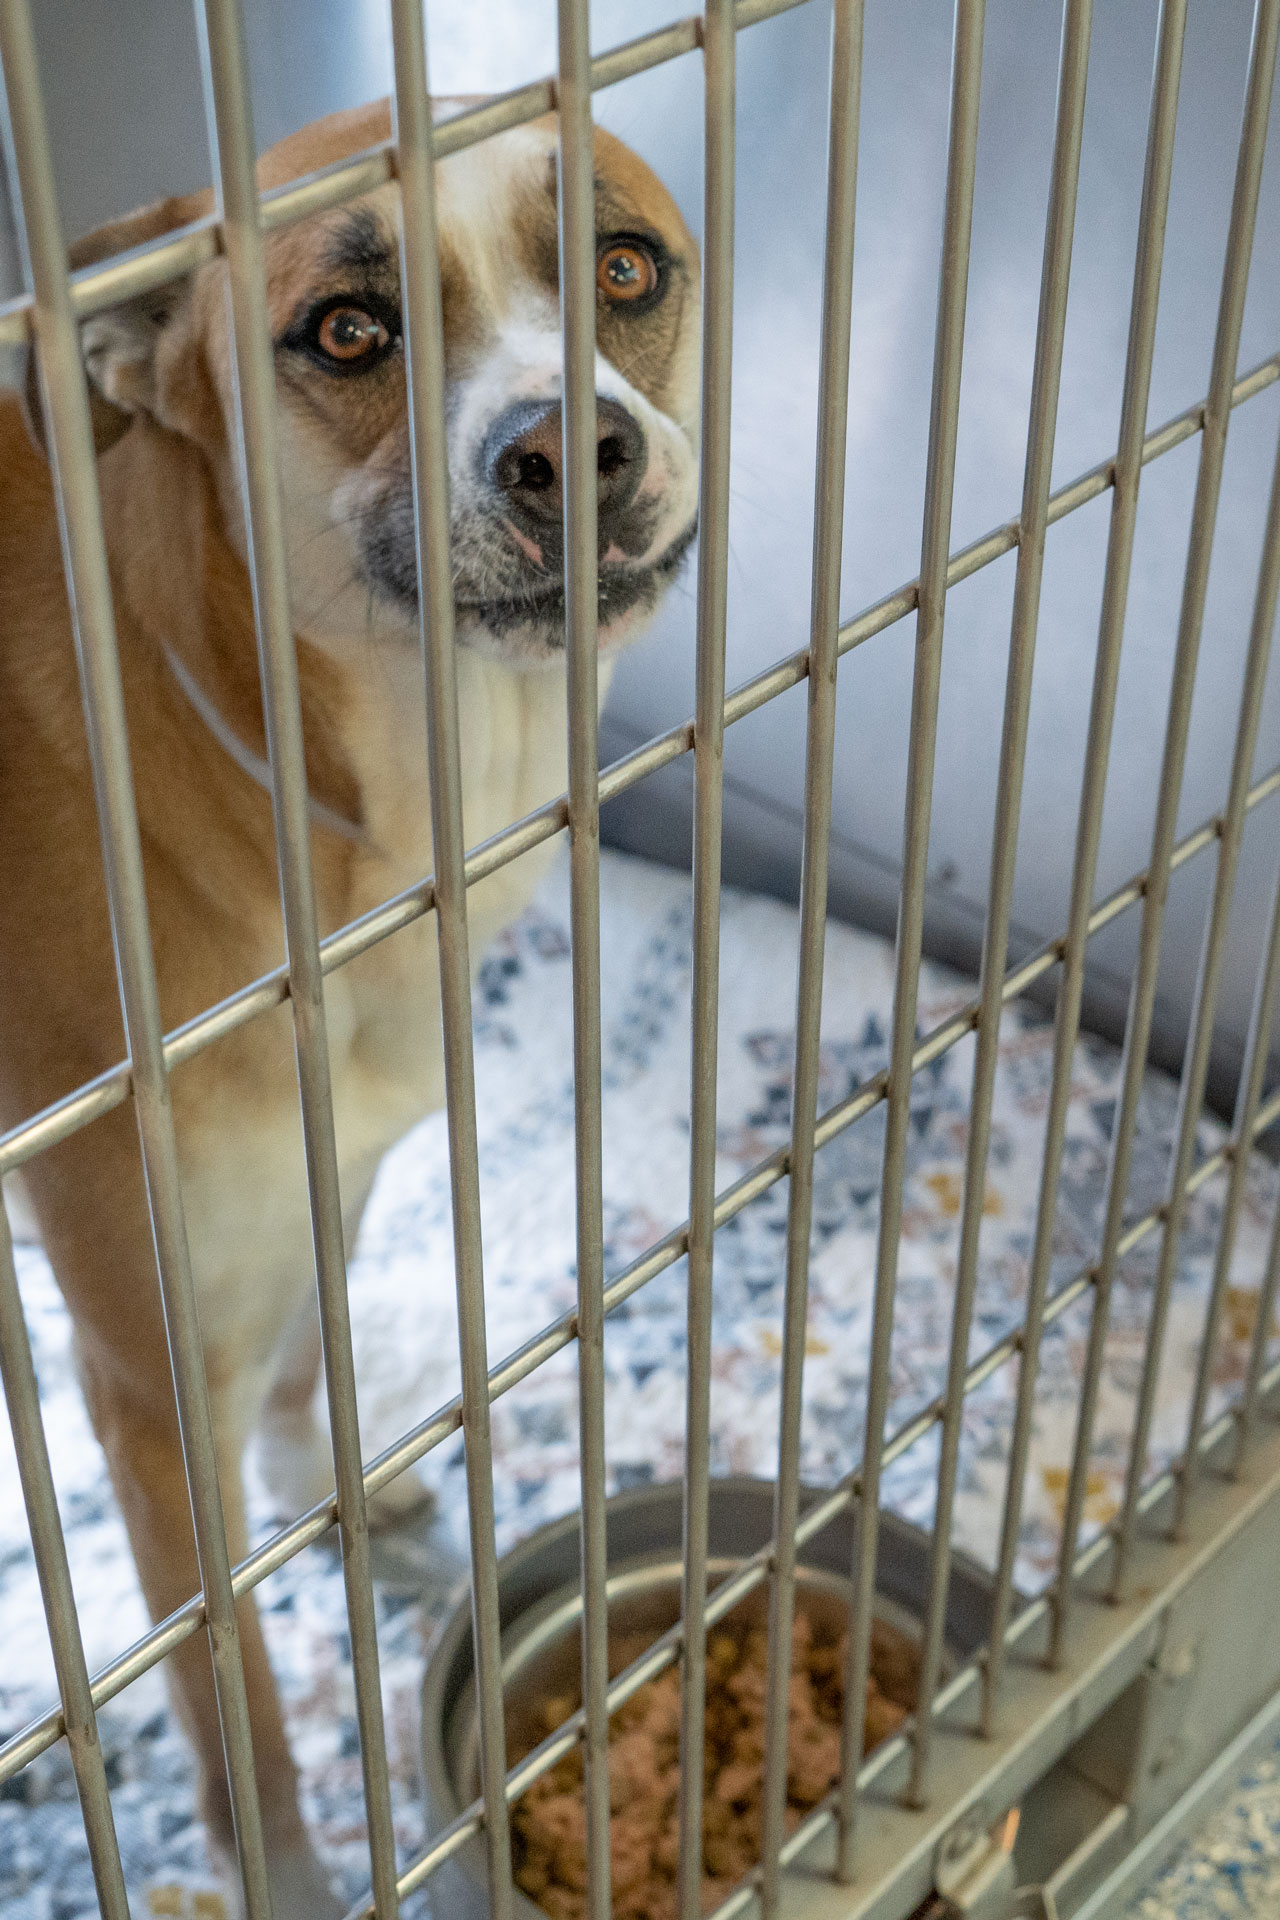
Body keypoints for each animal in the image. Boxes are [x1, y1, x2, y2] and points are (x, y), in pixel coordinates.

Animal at [0, 101, 702, 1920]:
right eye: (343, 333)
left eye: (624, 268)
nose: (576, 451)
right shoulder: (143, 1372)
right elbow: (231, 1697)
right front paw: (303, 1880)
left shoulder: (352, 1151)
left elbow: (308, 1367)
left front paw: (347, 1505)